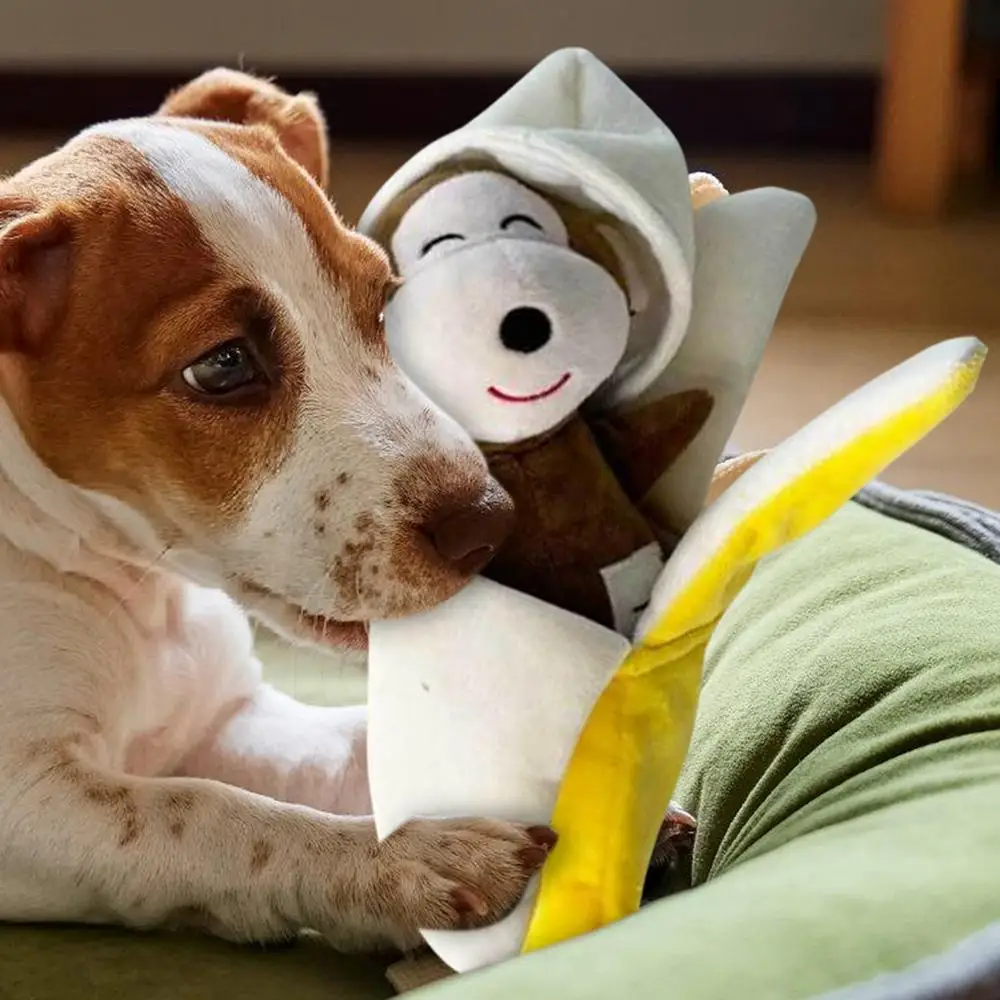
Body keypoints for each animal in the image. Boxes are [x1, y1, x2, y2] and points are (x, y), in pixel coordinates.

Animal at [0, 68, 558, 953]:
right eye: (223, 366)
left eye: (383, 303)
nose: (489, 525)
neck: (137, 594)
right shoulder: (28, 799)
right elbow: (218, 817)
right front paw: (406, 861)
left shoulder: (222, 722)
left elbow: (353, 741)